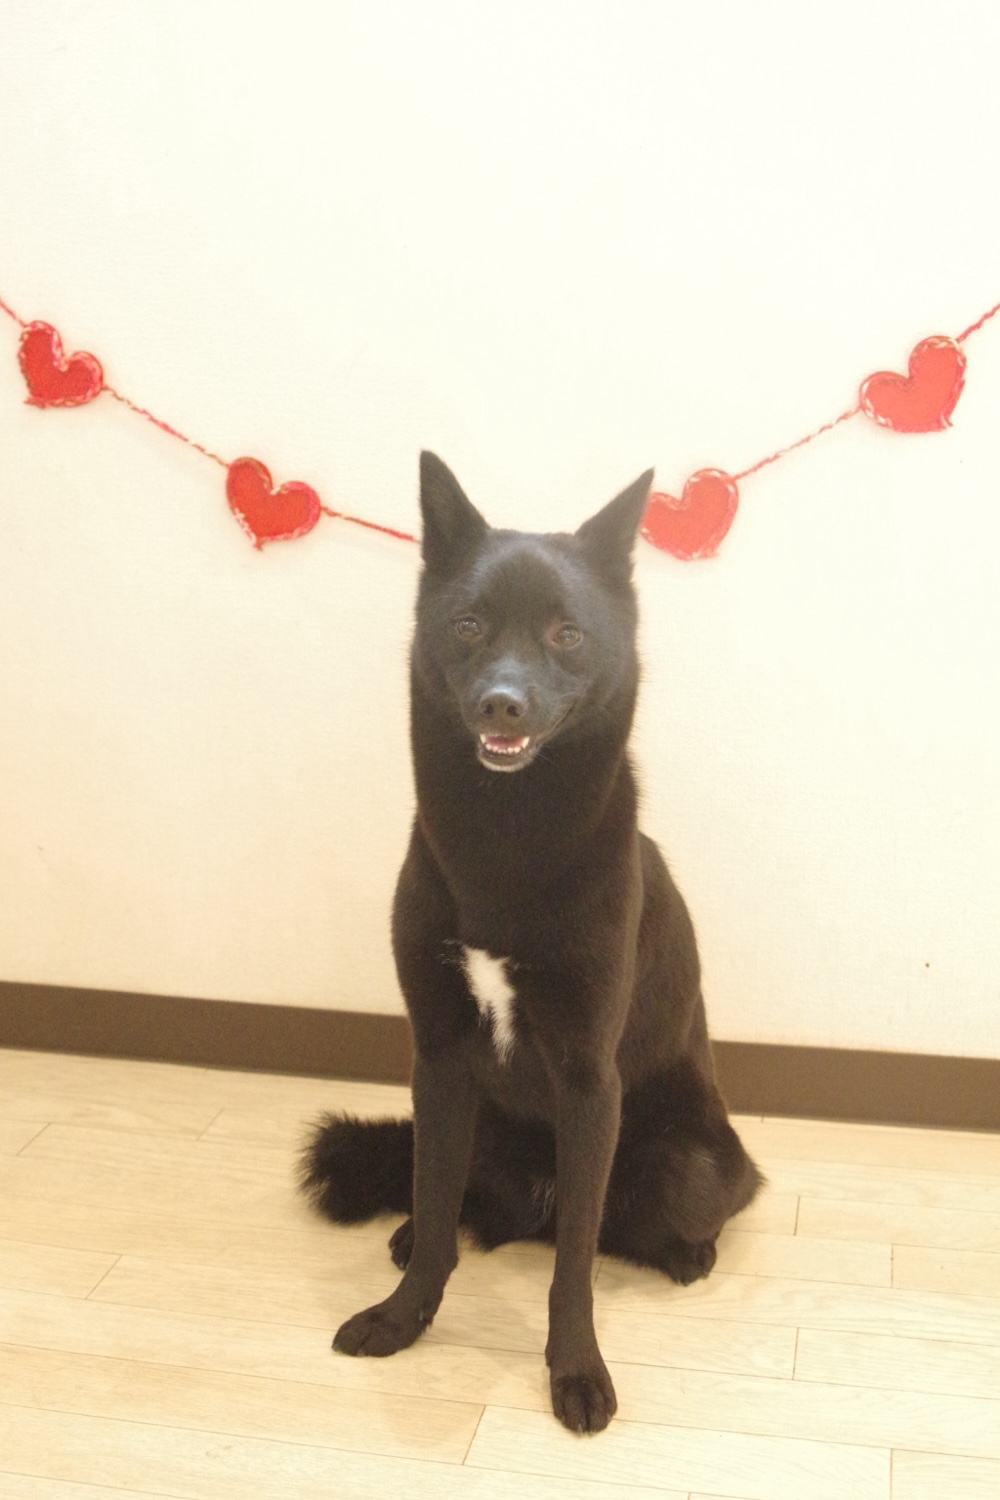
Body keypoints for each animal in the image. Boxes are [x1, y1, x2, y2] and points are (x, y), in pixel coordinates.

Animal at [301, 451, 762, 1433]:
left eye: (567, 635)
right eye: (469, 624)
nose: (502, 703)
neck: (505, 841)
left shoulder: (590, 1081)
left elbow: (573, 1270)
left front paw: (576, 1370)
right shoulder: (438, 1059)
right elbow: (437, 1207)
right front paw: (404, 1318)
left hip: (684, 1163)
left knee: (629, 1221)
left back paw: (685, 1252)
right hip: (473, 1126)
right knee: (465, 1208)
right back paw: (412, 1233)